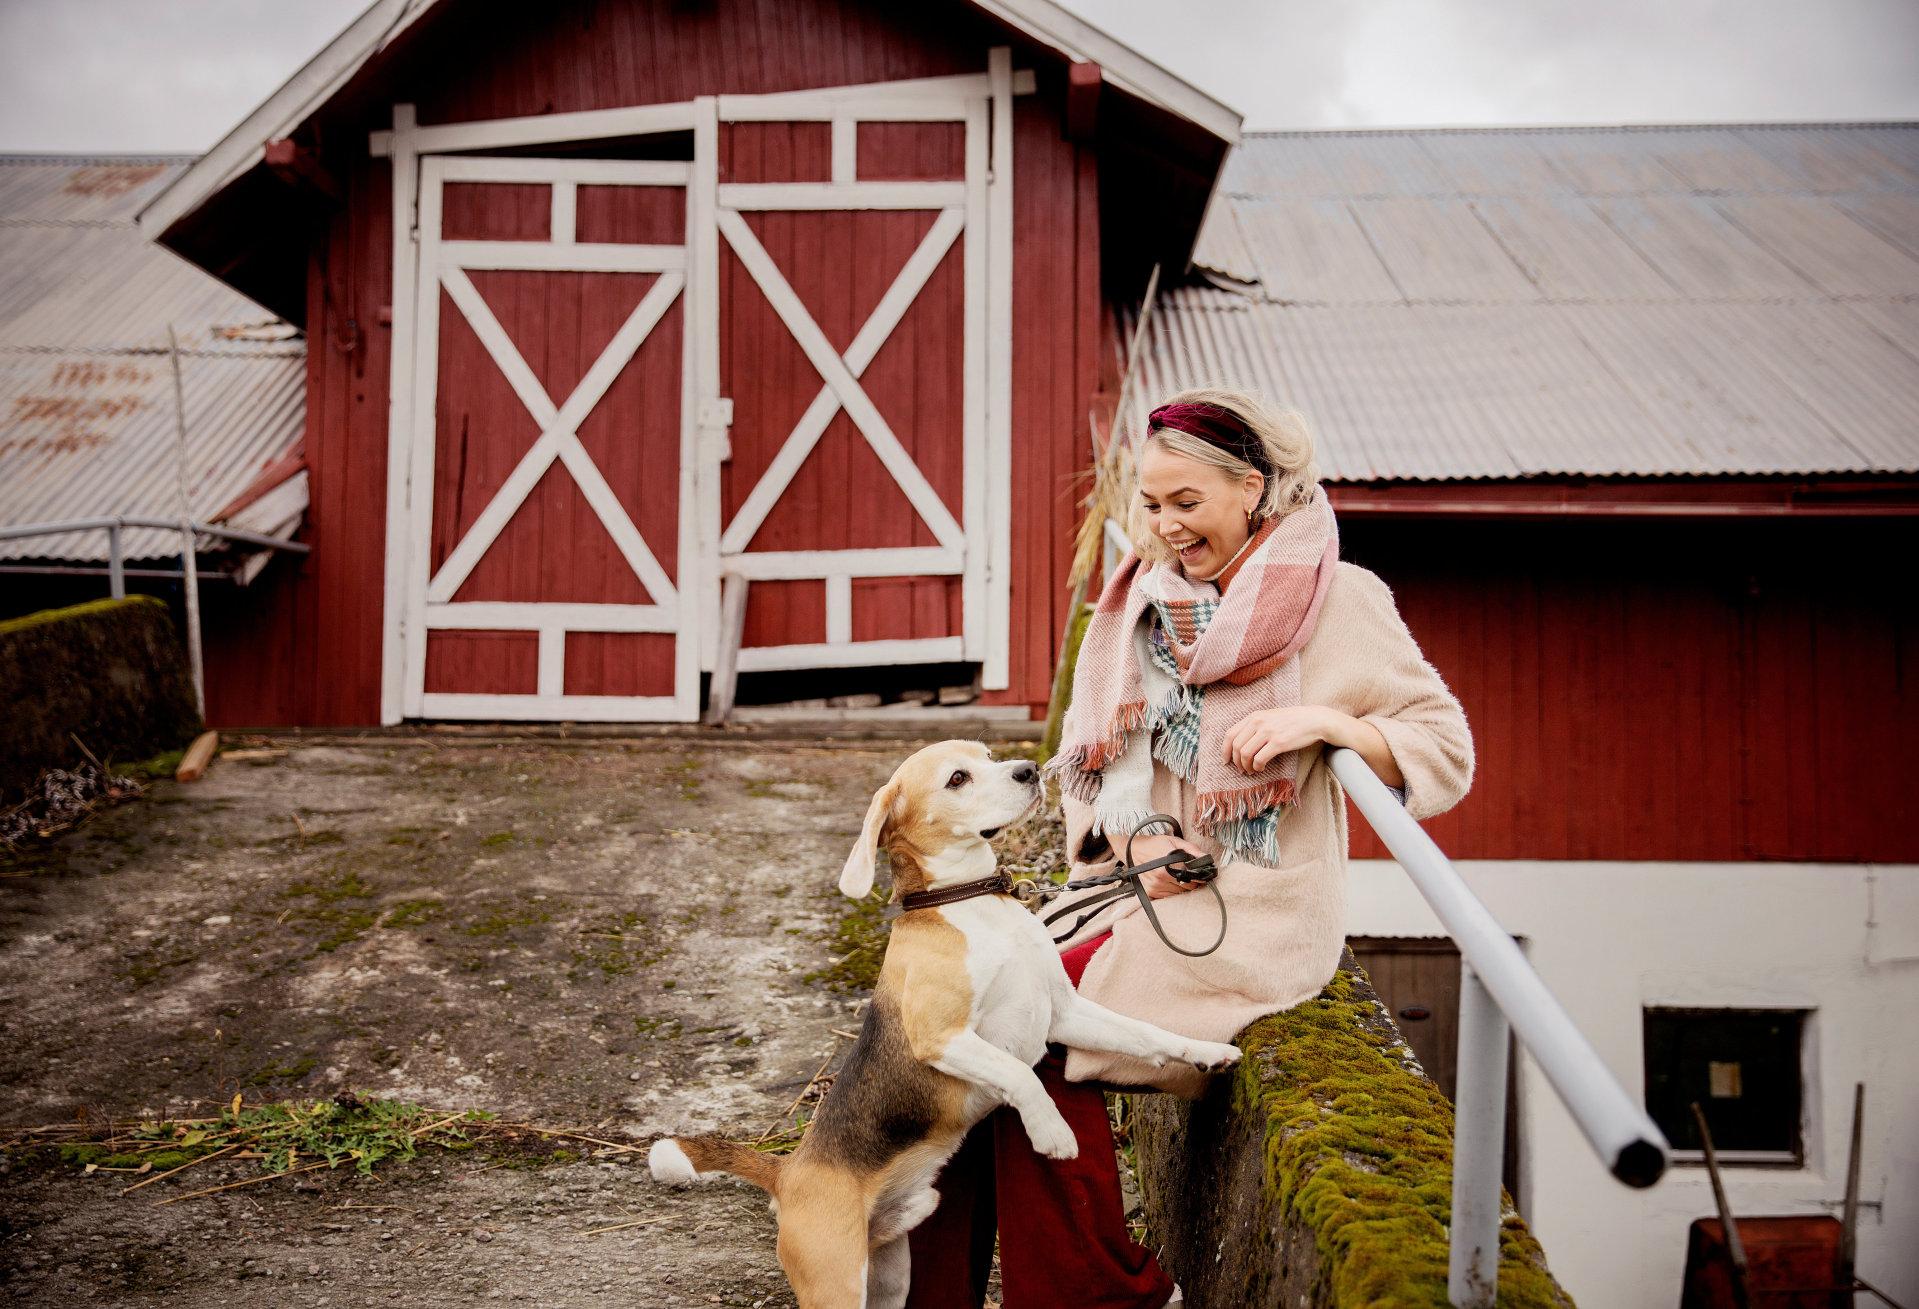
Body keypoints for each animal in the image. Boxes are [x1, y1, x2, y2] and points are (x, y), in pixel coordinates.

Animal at [652, 740, 1235, 1305]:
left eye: (988, 756)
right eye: (958, 778)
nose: (1029, 769)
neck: (970, 901)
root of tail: (789, 1169)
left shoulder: (1063, 1014)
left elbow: (1145, 1032)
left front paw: (1208, 1052)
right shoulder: (941, 1038)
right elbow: (1020, 1075)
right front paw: (1051, 1133)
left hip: (891, 1277)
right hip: (836, 1281)